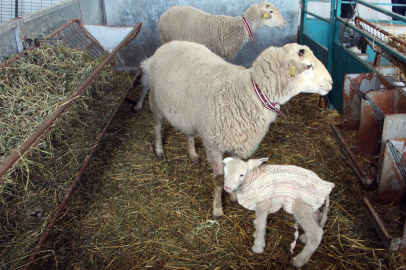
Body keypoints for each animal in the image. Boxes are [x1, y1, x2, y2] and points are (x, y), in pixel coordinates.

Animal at [133, 1, 286, 110]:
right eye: (271, 11)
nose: (284, 23)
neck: (239, 27)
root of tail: (166, 12)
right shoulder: (217, 53)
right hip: (164, 37)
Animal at [141, 40, 332, 217]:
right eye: (308, 65)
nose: (331, 82)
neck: (249, 92)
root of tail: (169, 44)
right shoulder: (213, 145)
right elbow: (219, 180)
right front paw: (218, 209)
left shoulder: (238, 143)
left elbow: (236, 171)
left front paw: (233, 198)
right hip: (155, 100)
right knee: (157, 125)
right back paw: (159, 150)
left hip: (190, 115)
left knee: (188, 132)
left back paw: (193, 153)